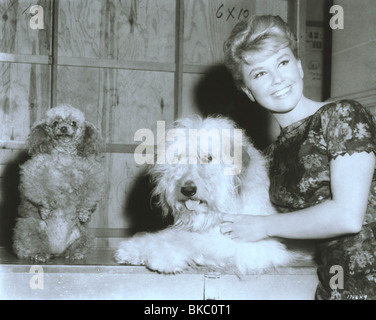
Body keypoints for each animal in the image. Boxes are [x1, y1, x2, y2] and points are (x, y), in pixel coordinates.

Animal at [114, 116, 294, 274]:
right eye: (178, 157)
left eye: (209, 157)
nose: (188, 190)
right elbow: (173, 235)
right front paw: (133, 248)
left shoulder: (255, 246)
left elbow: (190, 241)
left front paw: (161, 256)